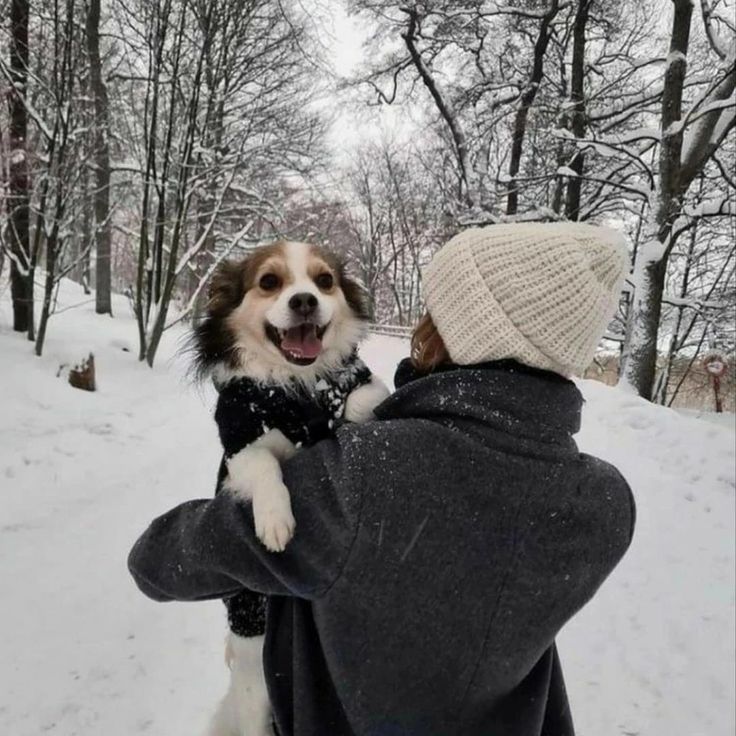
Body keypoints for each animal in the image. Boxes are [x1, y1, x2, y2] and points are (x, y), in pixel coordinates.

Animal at [193, 242, 392, 736]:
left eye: (324, 281)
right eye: (269, 282)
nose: (304, 300)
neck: (299, 386)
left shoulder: (357, 387)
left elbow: (365, 399)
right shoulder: (240, 447)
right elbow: (265, 464)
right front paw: (275, 522)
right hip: (254, 679)